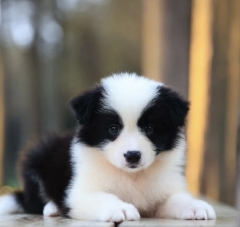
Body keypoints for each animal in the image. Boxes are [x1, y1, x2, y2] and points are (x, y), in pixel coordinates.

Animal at [0, 73, 216, 222]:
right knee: (32, 201)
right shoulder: (81, 191)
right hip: (38, 155)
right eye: (113, 129)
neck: (132, 176)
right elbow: (101, 197)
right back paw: (52, 208)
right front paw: (120, 209)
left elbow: (176, 198)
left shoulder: (162, 189)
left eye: (149, 128)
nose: (133, 156)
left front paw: (196, 206)